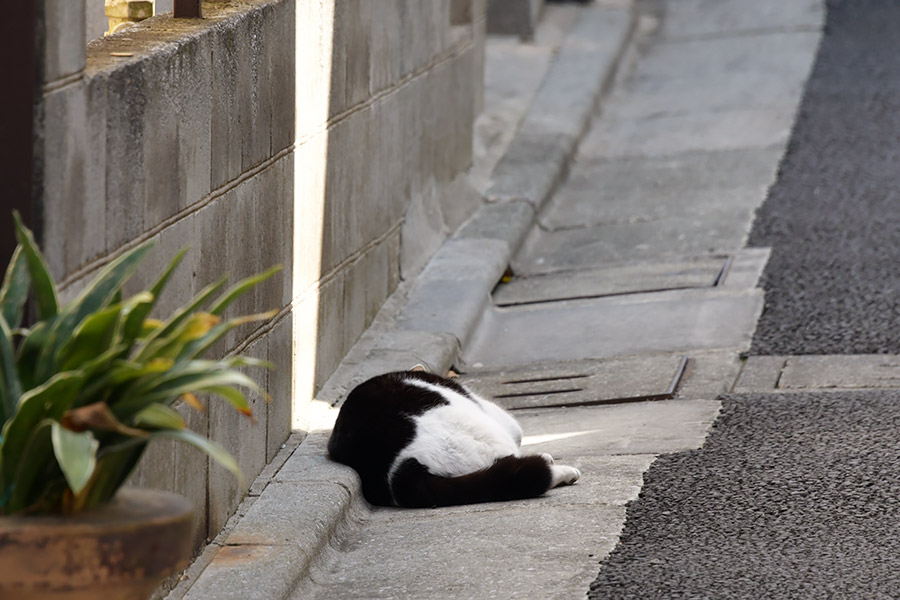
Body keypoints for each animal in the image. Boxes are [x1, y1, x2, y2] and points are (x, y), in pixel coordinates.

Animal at [326, 368, 580, 508]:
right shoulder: (498, 417)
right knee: (516, 467)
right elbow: (518, 433)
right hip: (480, 428)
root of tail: (399, 470)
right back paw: (561, 471)